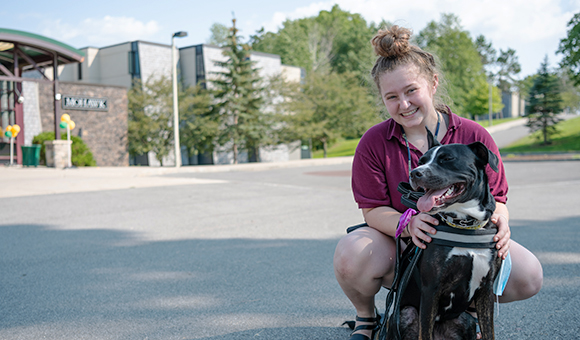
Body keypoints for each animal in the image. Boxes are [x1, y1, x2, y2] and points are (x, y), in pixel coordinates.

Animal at [394, 129, 502, 338]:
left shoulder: (486, 290)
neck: (465, 224)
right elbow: (424, 333)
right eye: (421, 161)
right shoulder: (430, 290)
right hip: (405, 313)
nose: (415, 173)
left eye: (447, 159)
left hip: (467, 320)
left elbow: (489, 332)